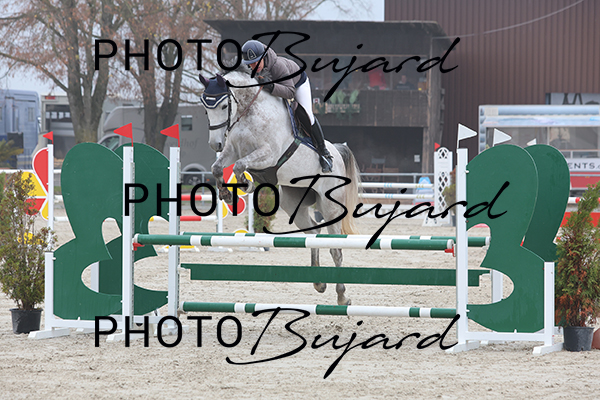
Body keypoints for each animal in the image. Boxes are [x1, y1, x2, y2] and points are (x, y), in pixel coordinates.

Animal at [199, 70, 361, 305]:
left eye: (223, 106)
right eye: (205, 107)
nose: (215, 144)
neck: (250, 113)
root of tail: (338, 153)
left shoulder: (268, 154)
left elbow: (239, 166)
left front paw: (247, 183)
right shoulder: (233, 150)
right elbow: (217, 167)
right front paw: (226, 194)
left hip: (330, 206)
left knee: (335, 248)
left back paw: (342, 296)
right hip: (293, 203)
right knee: (314, 231)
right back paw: (319, 283)